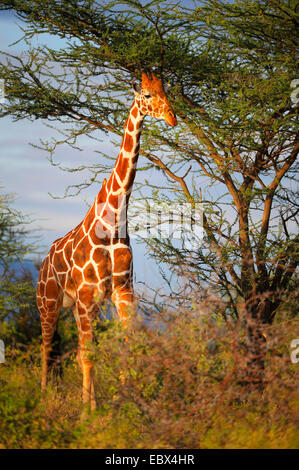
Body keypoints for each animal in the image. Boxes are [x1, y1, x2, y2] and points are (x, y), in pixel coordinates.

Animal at [37, 71, 178, 410]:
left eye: (167, 92)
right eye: (147, 95)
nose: (172, 117)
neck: (113, 221)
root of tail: (44, 262)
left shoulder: (123, 292)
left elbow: (123, 347)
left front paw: (122, 402)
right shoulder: (89, 295)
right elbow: (88, 355)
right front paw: (88, 413)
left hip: (74, 306)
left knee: (65, 351)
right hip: (48, 302)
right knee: (46, 347)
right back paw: (45, 396)